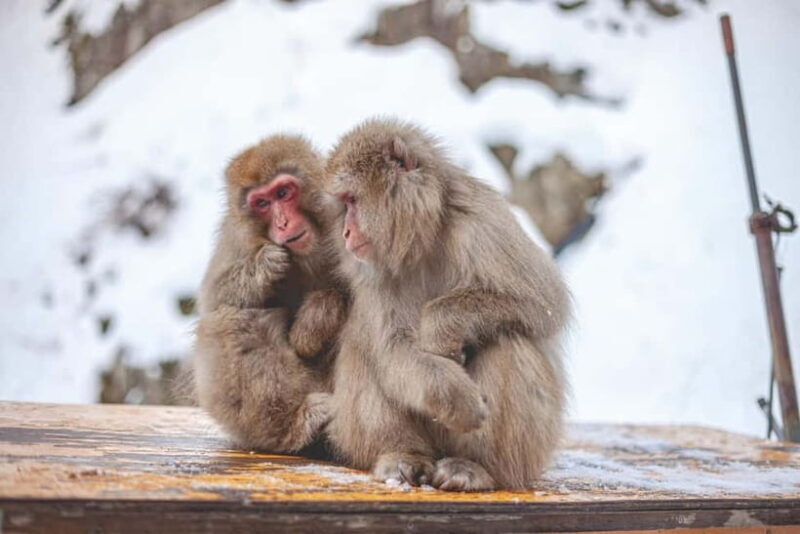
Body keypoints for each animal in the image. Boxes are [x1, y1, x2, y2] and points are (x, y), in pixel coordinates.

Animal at [192, 135, 347, 454]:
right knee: (230, 321)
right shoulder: (236, 237)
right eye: (262, 203)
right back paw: (296, 425)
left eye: (283, 192)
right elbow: (212, 299)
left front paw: (315, 319)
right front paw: (262, 267)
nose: (283, 223)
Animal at [323, 118, 570, 491]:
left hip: (527, 453)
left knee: (506, 339)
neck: (424, 238)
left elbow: (543, 300)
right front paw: (456, 396)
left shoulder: (481, 219)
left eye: (352, 200)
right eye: (342, 204)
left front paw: (439, 332)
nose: (346, 233)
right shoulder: (374, 272)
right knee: (364, 348)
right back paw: (403, 455)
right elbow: (392, 346)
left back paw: (475, 467)